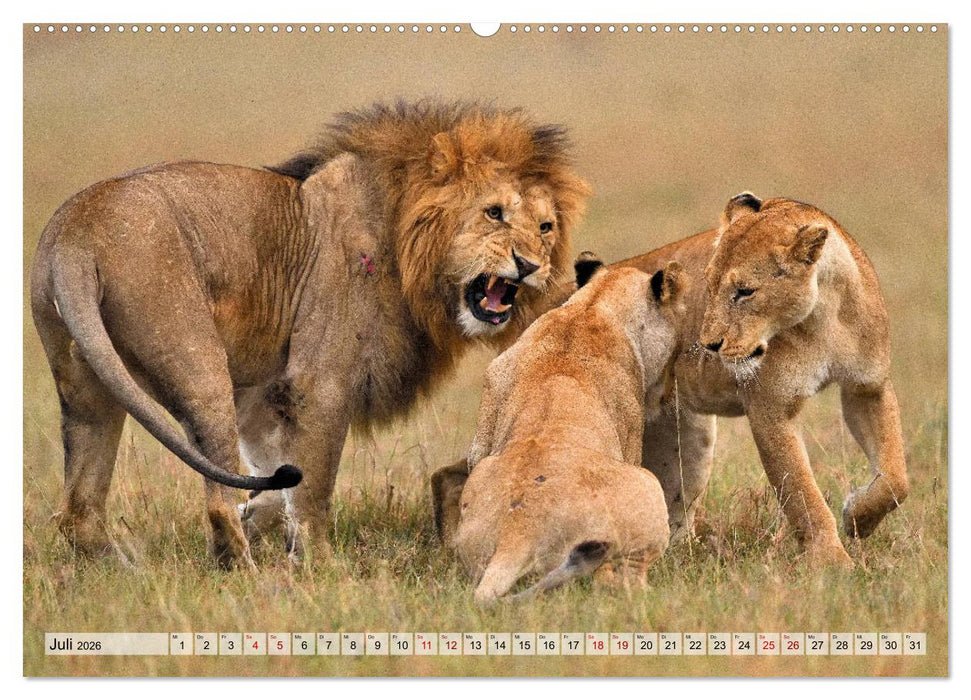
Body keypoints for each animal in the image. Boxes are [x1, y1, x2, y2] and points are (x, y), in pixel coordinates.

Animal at [30, 99, 589, 566]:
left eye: (546, 227)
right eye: (494, 213)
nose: (530, 265)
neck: (408, 249)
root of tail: (76, 235)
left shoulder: (263, 391)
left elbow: (280, 474)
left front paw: (264, 515)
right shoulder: (319, 383)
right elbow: (314, 483)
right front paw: (318, 562)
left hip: (86, 384)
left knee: (79, 509)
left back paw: (124, 569)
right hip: (197, 365)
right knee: (215, 500)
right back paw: (247, 575)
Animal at [435, 255, 686, 603]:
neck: (593, 306)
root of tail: (518, 532)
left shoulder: (486, 420)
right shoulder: (631, 433)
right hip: (646, 487)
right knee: (615, 577)